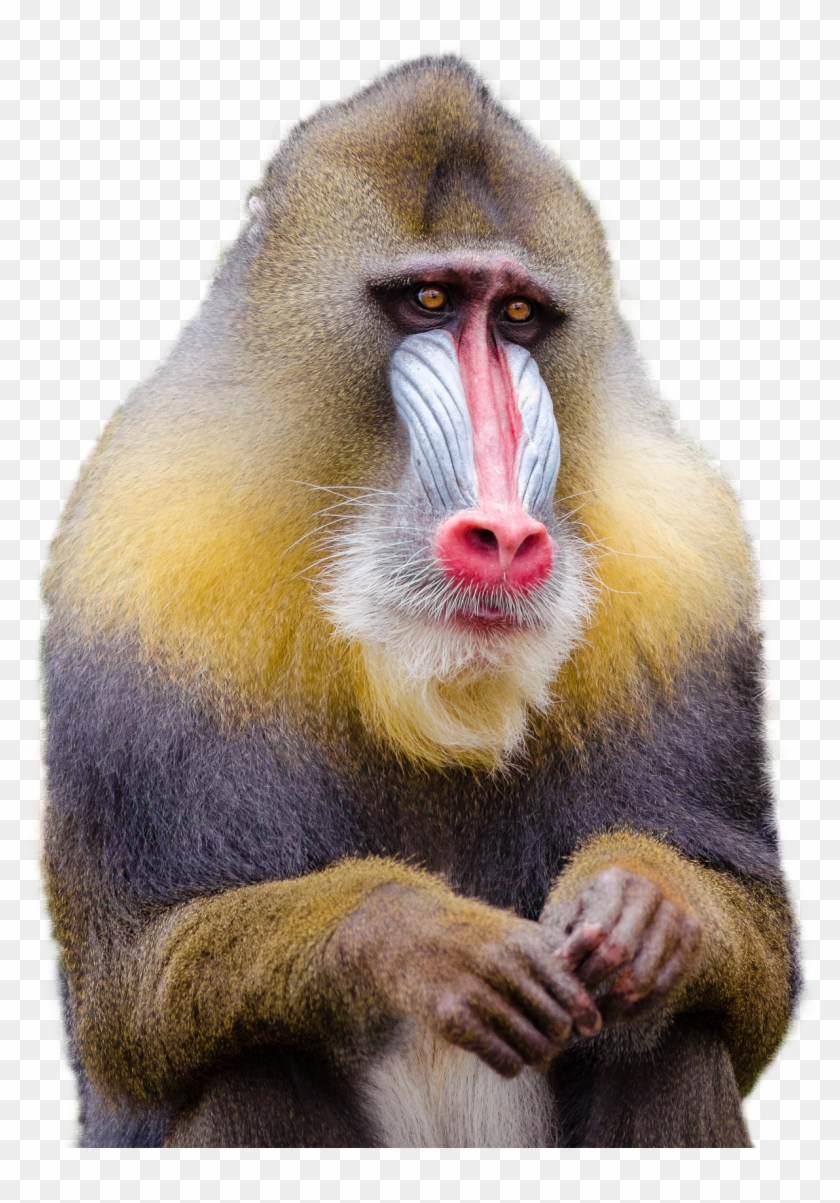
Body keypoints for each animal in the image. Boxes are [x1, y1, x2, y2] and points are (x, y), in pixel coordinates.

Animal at [42, 57, 797, 1148]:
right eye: (430, 299)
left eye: (518, 318)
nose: (506, 538)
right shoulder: (139, 568)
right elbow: (132, 999)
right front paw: (421, 937)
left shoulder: (690, 566)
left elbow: (758, 975)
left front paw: (645, 905)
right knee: (245, 1064)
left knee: (677, 1039)